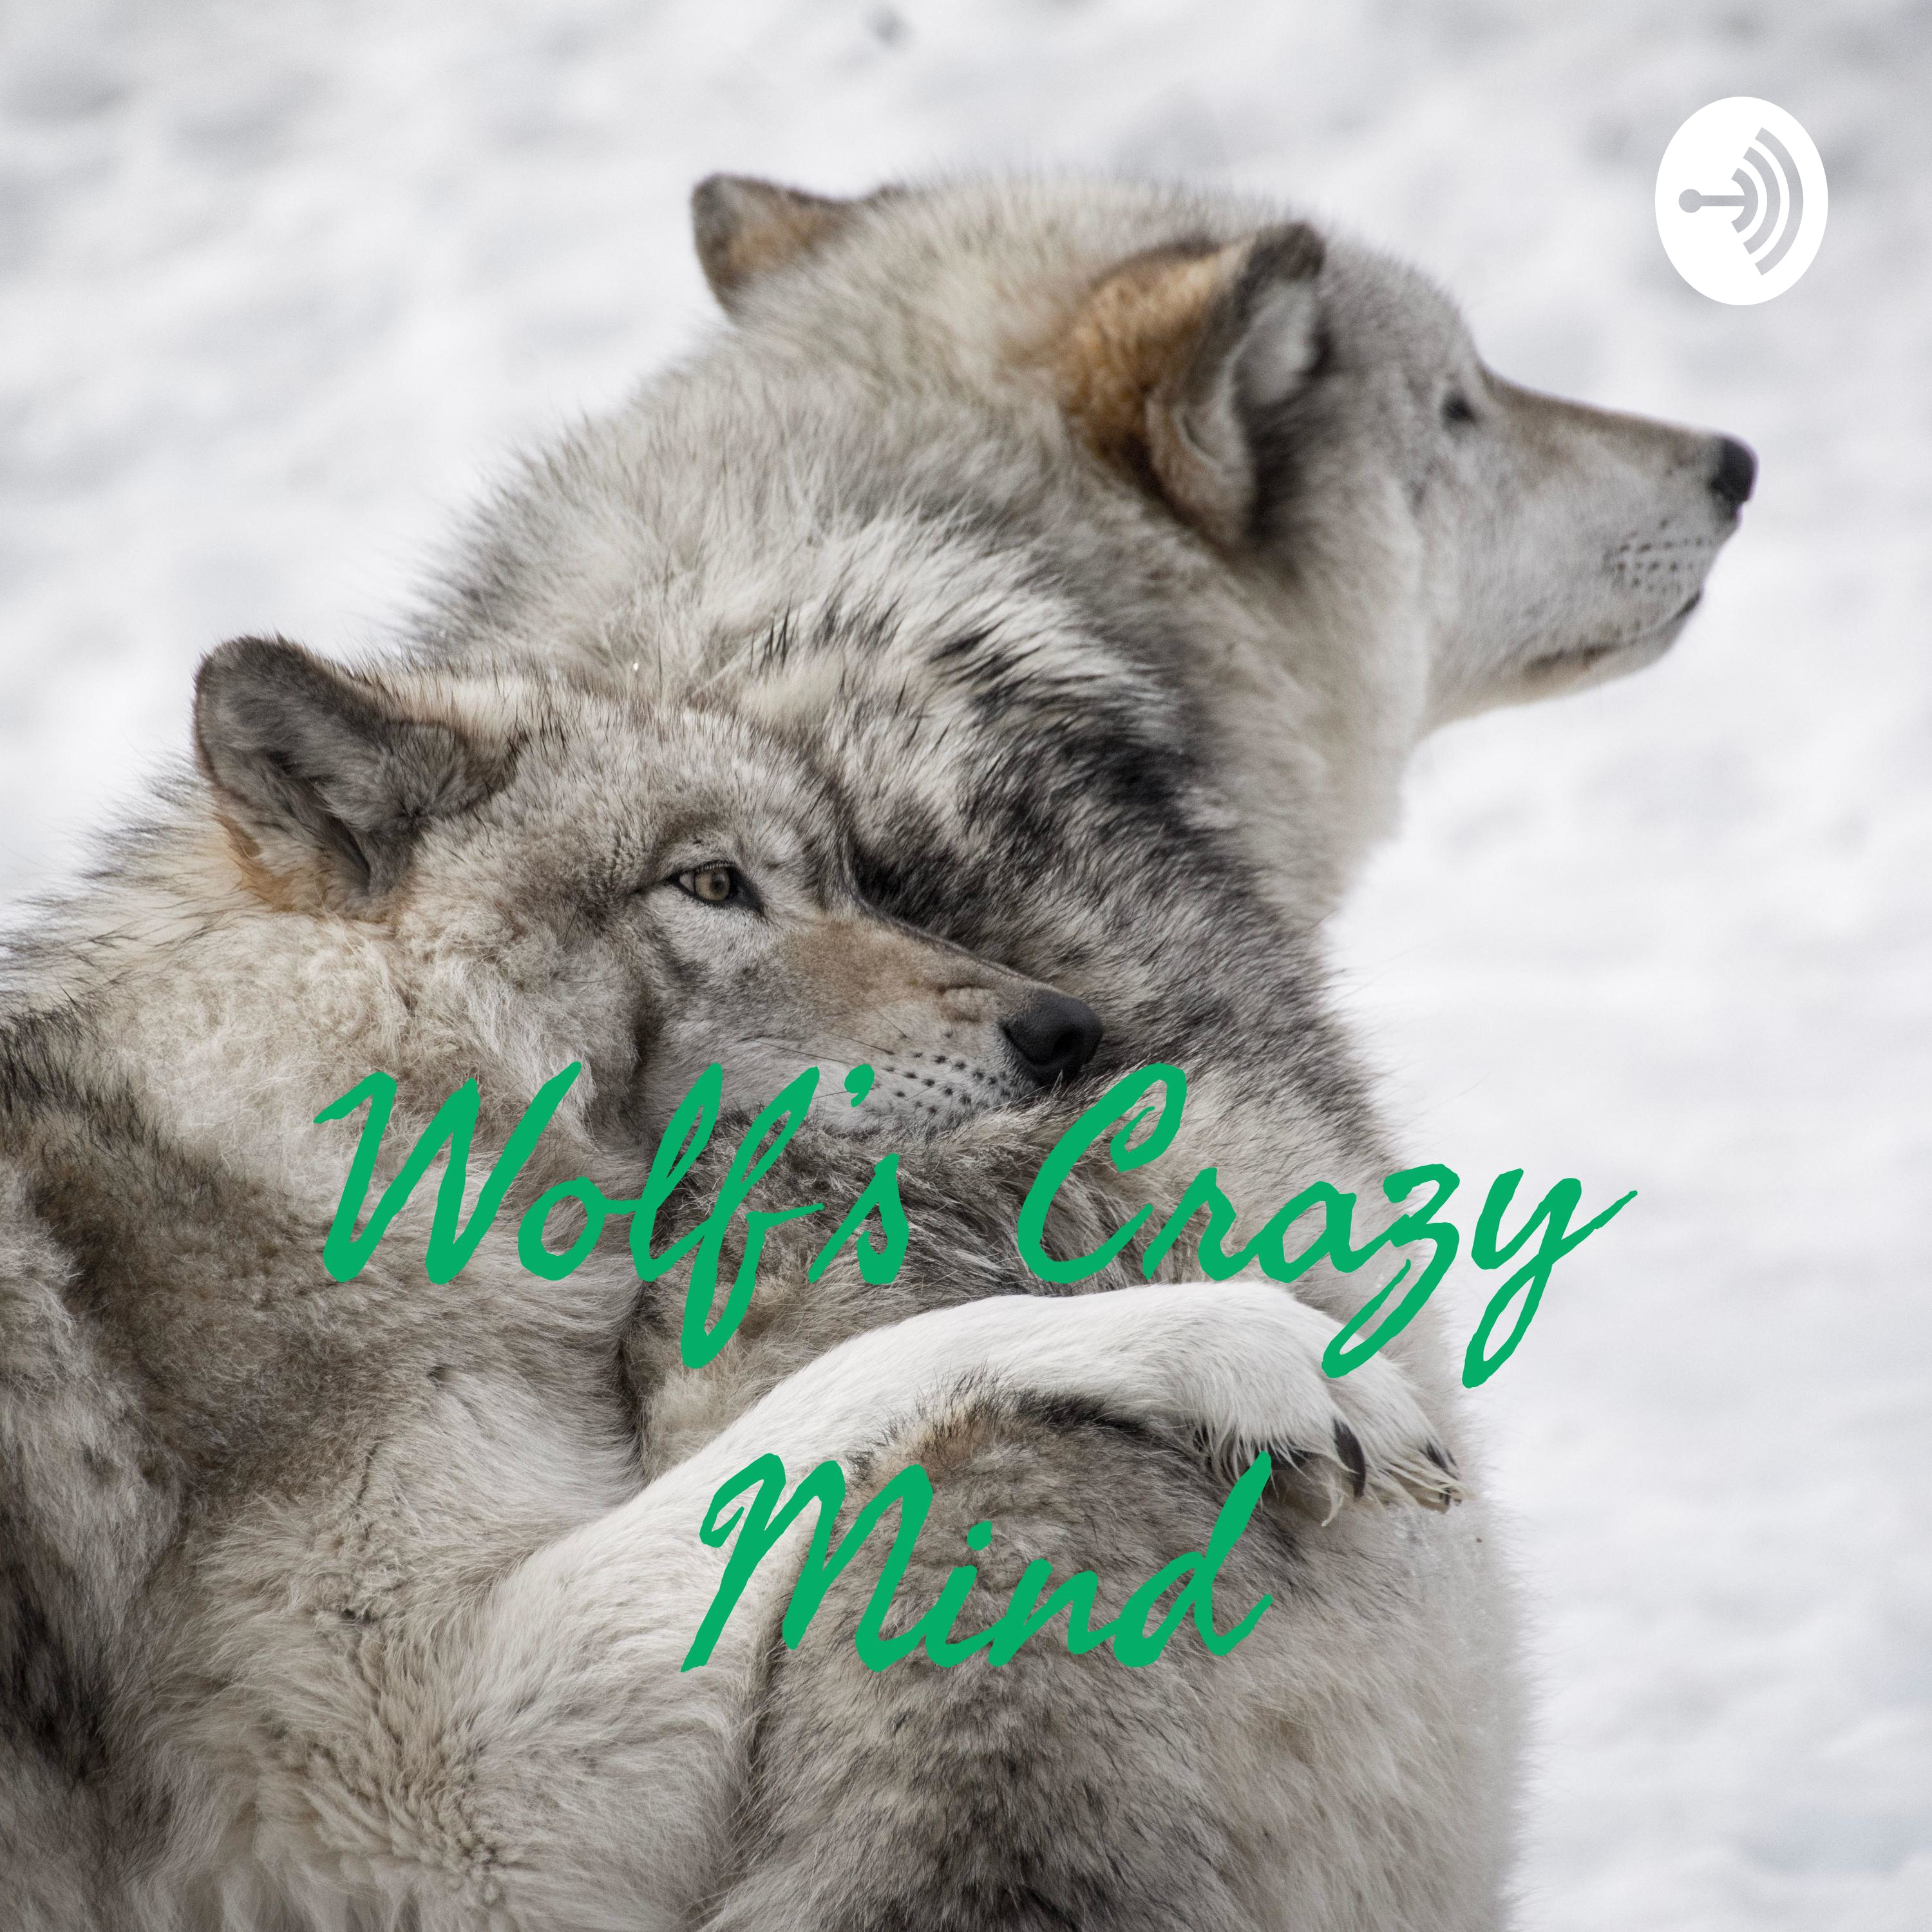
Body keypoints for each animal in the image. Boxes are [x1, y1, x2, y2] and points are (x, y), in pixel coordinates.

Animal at [0, 636, 1454, 1931]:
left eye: (846, 878)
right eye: (710, 883)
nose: (1066, 1029)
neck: (331, 1109)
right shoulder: (444, 1803)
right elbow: (886, 1362)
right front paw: (1266, 1351)